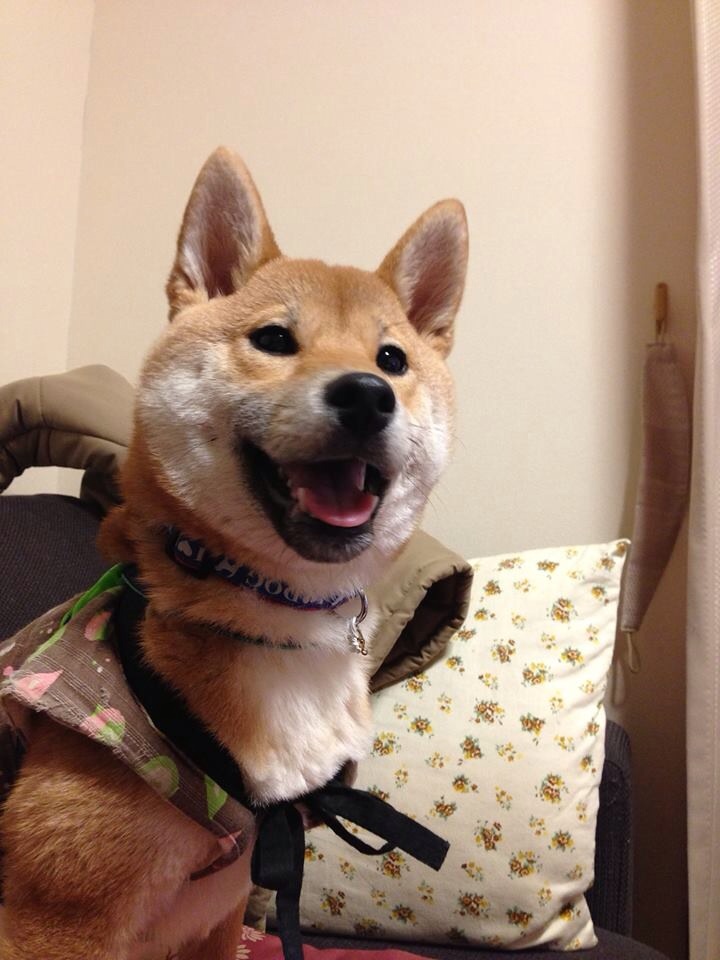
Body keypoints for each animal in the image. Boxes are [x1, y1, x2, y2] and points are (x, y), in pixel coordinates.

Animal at [0, 147, 467, 959]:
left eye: (392, 358)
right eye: (275, 340)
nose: (368, 394)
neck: (281, 627)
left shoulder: (217, 917)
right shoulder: (57, 923)